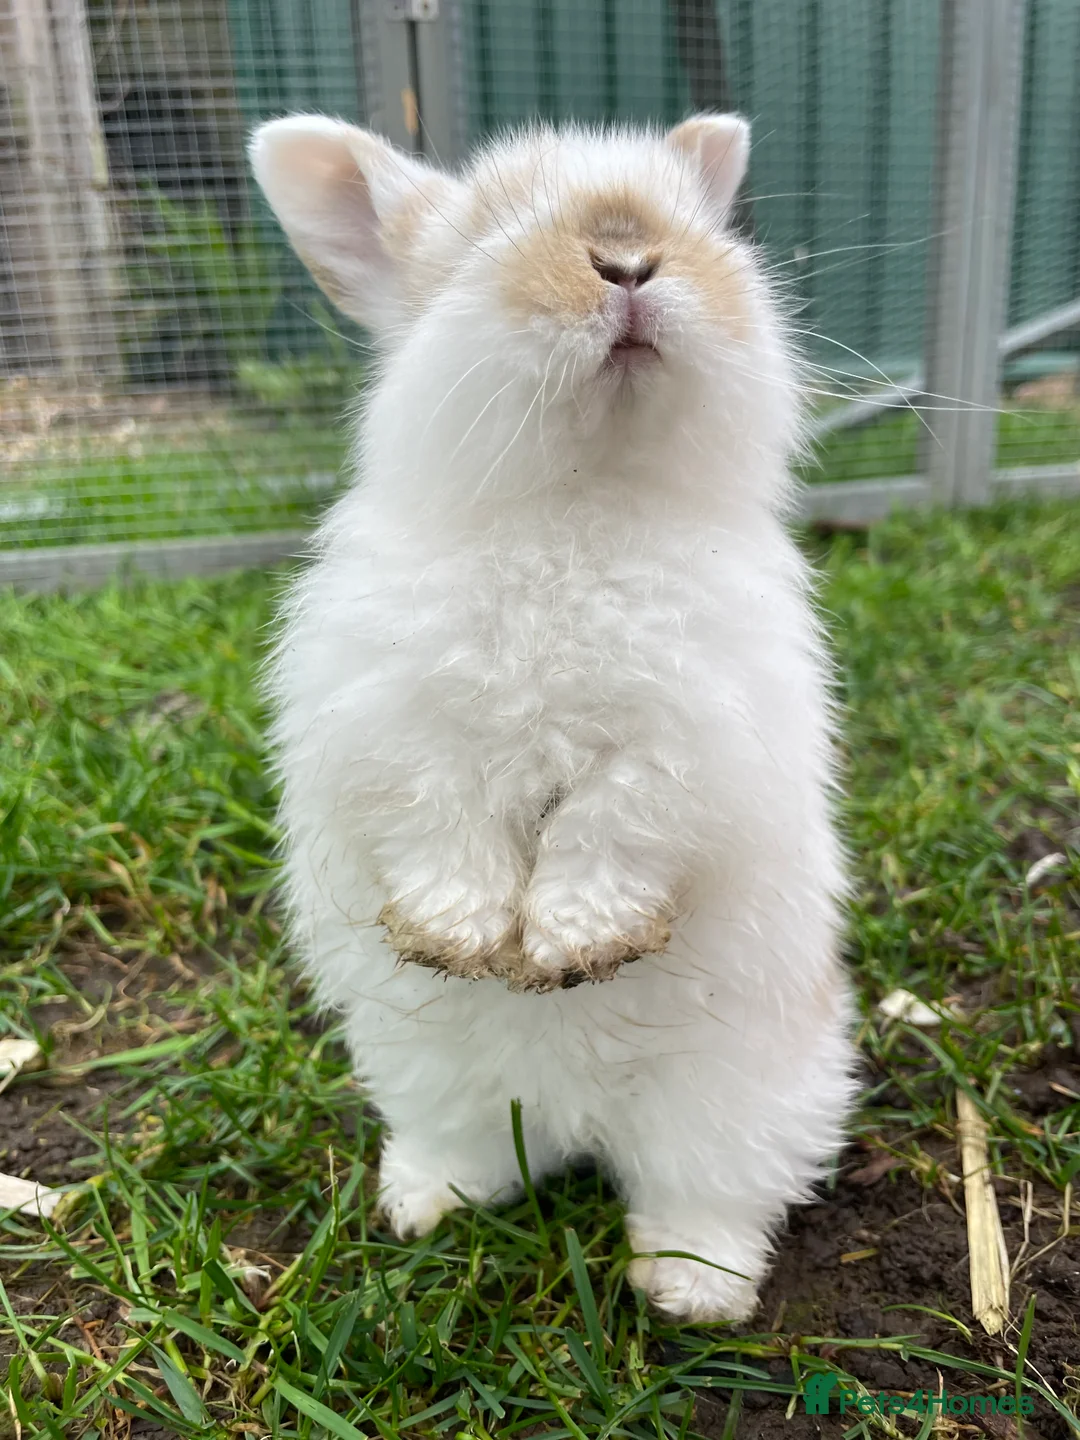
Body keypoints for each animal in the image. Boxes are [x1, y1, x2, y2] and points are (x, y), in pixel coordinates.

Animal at [250, 112, 855, 1322]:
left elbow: (610, 824)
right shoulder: (396, 725)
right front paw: (465, 938)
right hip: (430, 1074)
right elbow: (445, 822)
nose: (627, 258)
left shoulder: (692, 742)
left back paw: (689, 1292)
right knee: (468, 1146)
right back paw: (424, 1206)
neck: (578, 495)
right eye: (488, 230)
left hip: (729, 1107)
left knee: (708, 1197)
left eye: (697, 221)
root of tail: (572, 1129)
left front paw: (575, 946)